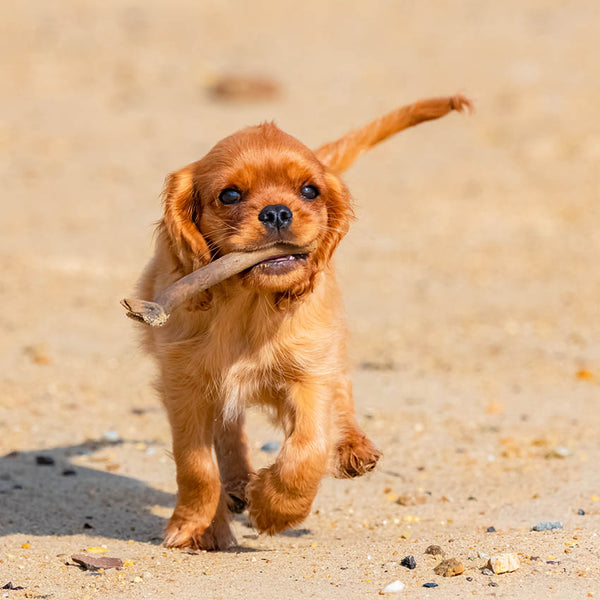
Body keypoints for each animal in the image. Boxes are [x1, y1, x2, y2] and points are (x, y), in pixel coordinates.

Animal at [134, 94, 472, 548]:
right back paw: (236, 485)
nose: (277, 212)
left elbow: (309, 448)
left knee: (340, 387)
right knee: (229, 428)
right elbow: (197, 465)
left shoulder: (308, 375)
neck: (248, 305)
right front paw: (196, 527)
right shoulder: (184, 383)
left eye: (310, 190)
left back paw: (351, 448)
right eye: (229, 195)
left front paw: (275, 509)